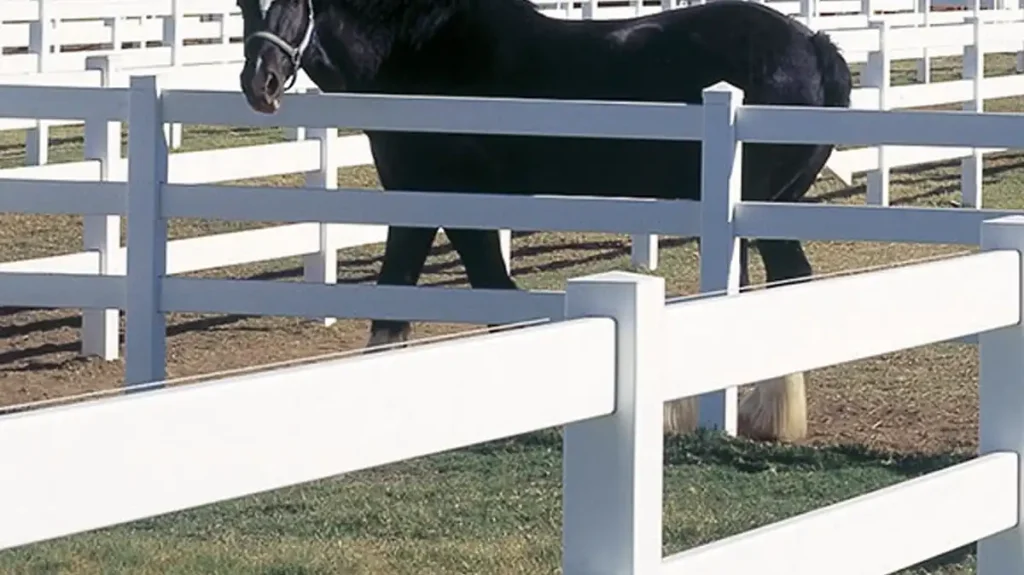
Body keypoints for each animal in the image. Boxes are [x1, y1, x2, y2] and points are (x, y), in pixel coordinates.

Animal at [236, 0, 853, 442]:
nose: (258, 83)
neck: (418, 53)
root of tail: (814, 45)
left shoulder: (443, 198)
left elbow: (470, 288)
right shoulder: (428, 201)